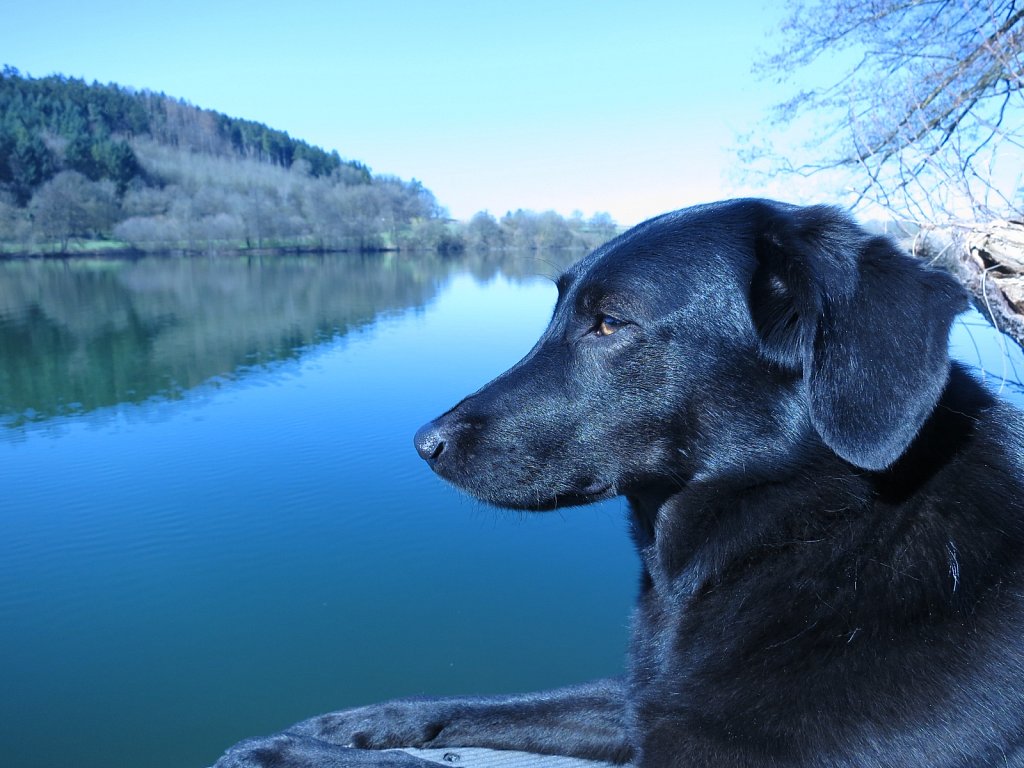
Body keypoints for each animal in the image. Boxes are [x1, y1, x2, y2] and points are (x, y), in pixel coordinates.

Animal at [216, 199, 1024, 768]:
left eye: (608, 323)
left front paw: (282, 754)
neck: (811, 530)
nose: (425, 444)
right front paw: (339, 728)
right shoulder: (648, 704)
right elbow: (480, 706)